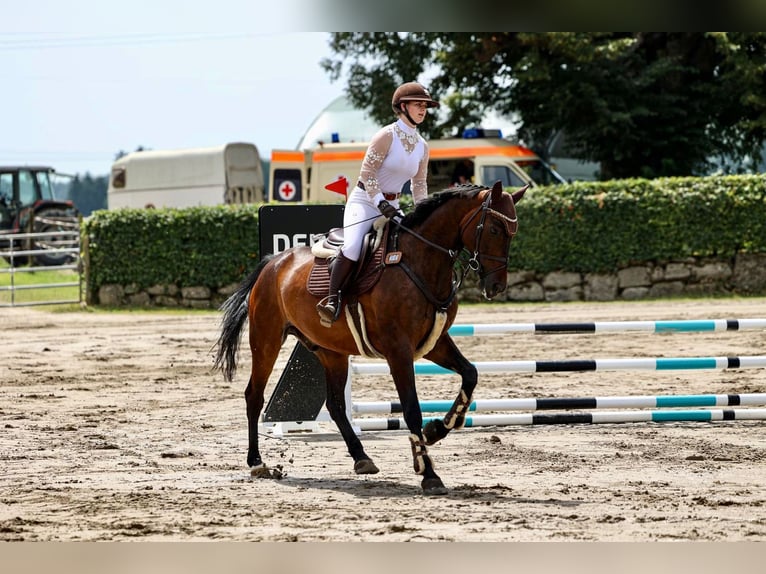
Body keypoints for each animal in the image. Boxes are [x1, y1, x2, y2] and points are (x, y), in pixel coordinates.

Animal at [216, 182, 528, 498]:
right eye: (494, 230)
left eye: (513, 233)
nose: (496, 286)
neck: (421, 262)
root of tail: (273, 262)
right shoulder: (398, 351)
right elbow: (411, 409)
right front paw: (428, 472)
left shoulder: (435, 343)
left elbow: (470, 374)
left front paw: (438, 429)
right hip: (266, 341)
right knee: (254, 395)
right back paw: (257, 462)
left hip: (331, 352)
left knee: (336, 405)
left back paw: (362, 457)